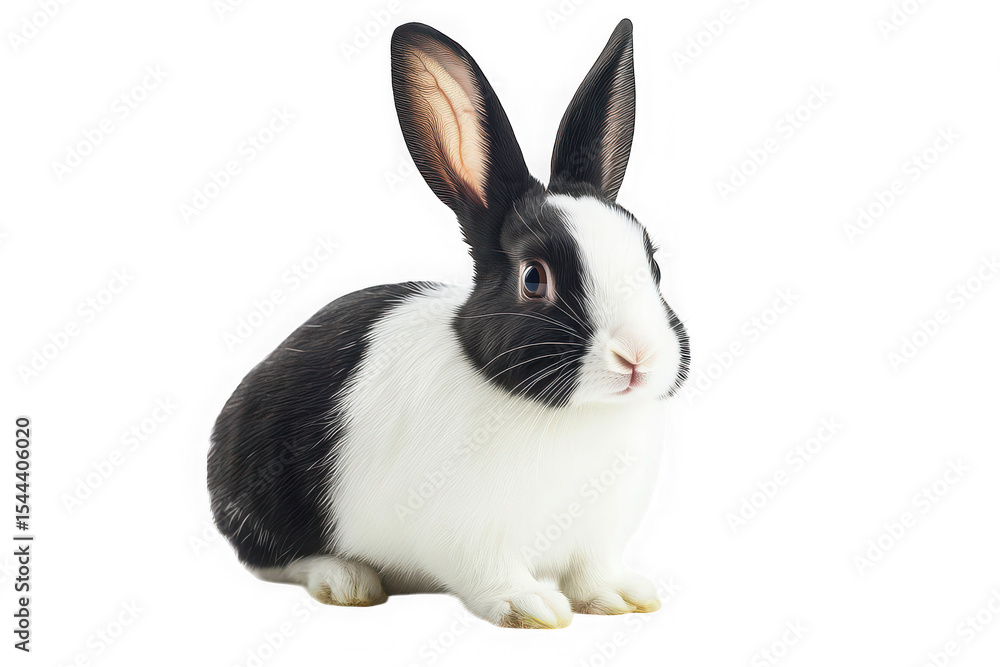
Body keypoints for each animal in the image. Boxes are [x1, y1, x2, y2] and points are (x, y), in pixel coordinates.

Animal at [208, 18, 689, 629]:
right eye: (534, 279)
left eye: (654, 264)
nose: (638, 355)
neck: (575, 415)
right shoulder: (471, 537)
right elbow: (493, 575)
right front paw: (531, 607)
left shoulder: (599, 537)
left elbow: (592, 572)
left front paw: (623, 599)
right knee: (274, 559)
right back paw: (346, 580)